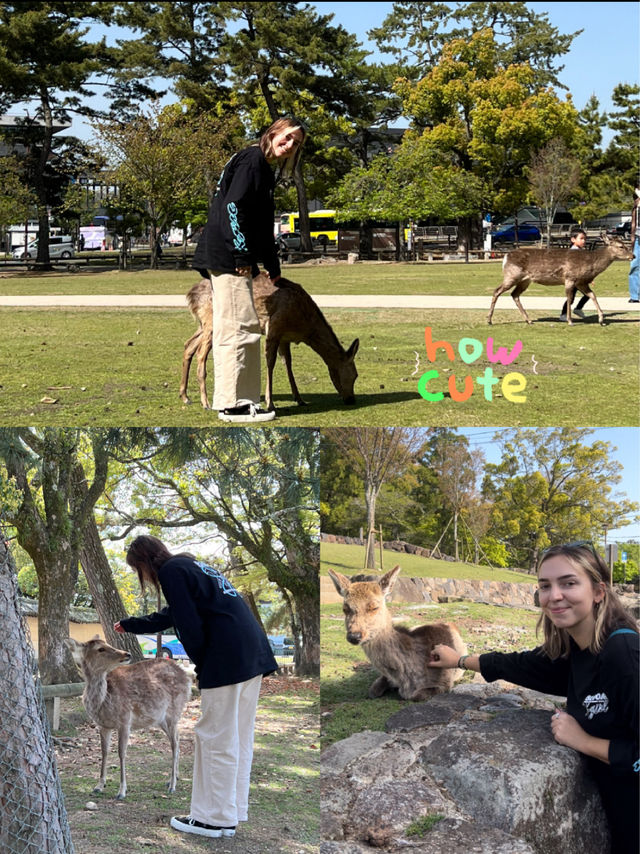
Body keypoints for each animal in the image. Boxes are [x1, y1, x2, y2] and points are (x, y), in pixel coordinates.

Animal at [69, 636, 192, 804]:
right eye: (101, 649)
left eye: (108, 644)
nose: (126, 654)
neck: (102, 701)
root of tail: (187, 678)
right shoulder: (103, 725)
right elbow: (104, 752)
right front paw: (99, 786)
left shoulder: (125, 720)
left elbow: (122, 753)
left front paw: (121, 791)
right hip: (161, 718)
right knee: (178, 739)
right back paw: (174, 778)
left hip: (174, 711)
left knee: (174, 744)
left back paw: (172, 785)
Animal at [180, 270, 360, 412]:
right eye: (354, 374)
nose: (351, 400)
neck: (304, 326)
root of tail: (191, 295)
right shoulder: (274, 327)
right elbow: (270, 363)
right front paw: (270, 403)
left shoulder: (285, 337)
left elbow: (288, 364)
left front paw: (299, 399)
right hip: (211, 321)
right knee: (200, 353)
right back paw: (205, 402)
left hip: (202, 324)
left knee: (188, 345)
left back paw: (185, 396)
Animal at [330, 568, 464, 704]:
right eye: (345, 609)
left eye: (374, 607)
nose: (354, 635)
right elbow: (373, 691)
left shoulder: (444, 682)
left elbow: (416, 695)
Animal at [488, 234, 632, 328]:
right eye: (621, 246)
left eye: (625, 244)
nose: (633, 255)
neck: (590, 265)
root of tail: (505, 257)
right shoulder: (570, 278)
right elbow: (569, 299)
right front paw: (570, 321)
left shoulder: (581, 282)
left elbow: (592, 295)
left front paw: (601, 320)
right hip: (512, 275)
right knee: (497, 291)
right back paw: (489, 320)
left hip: (524, 280)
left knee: (514, 294)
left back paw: (529, 320)